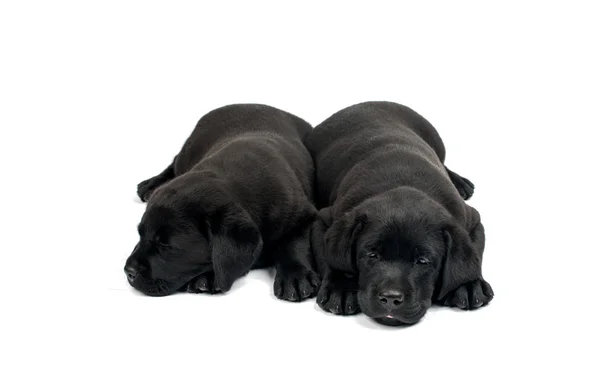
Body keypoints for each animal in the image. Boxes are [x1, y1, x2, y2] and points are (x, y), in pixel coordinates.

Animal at [125, 103, 322, 302]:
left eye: (166, 245)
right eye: (140, 234)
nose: (128, 271)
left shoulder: (303, 214)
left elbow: (295, 244)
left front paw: (296, 277)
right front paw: (208, 276)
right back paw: (150, 184)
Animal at [308, 101, 494, 324]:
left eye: (422, 261)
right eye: (372, 255)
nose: (390, 298)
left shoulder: (471, 219)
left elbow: (474, 255)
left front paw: (468, 285)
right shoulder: (325, 219)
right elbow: (331, 258)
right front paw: (341, 288)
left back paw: (460, 182)